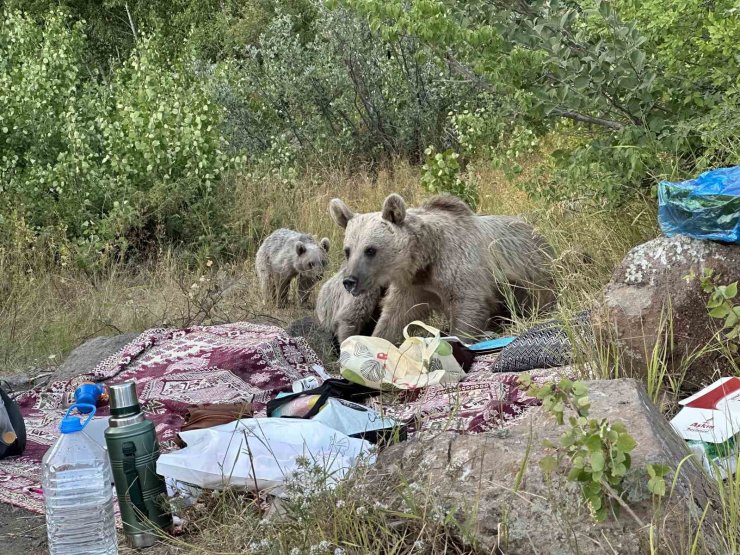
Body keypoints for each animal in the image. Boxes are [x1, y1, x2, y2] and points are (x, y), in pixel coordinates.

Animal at [330, 193, 556, 346]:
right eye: (347, 250)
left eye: (370, 250)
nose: (350, 281)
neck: (425, 260)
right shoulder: (413, 287)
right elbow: (395, 316)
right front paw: (376, 340)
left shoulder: (459, 265)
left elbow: (468, 304)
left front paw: (459, 338)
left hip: (534, 276)